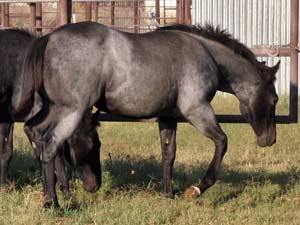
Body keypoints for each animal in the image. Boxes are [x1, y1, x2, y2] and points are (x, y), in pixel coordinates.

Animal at [0, 28, 101, 206]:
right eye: (93, 144)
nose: (95, 185)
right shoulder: (7, 118)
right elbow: (6, 152)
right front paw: (4, 188)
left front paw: (64, 194)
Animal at [11, 21, 278, 207]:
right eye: (274, 100)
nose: (270, 140)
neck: (205, 52)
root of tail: (48, 37)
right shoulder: (197, 110)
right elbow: (222, 142)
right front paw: (197, 188)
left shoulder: (168, 117)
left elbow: (168, 154)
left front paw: (168, 194)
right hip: (70, 111)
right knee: (50, 144)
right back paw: (53, 202)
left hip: (53, 109)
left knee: (35, 133)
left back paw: (51, 195)